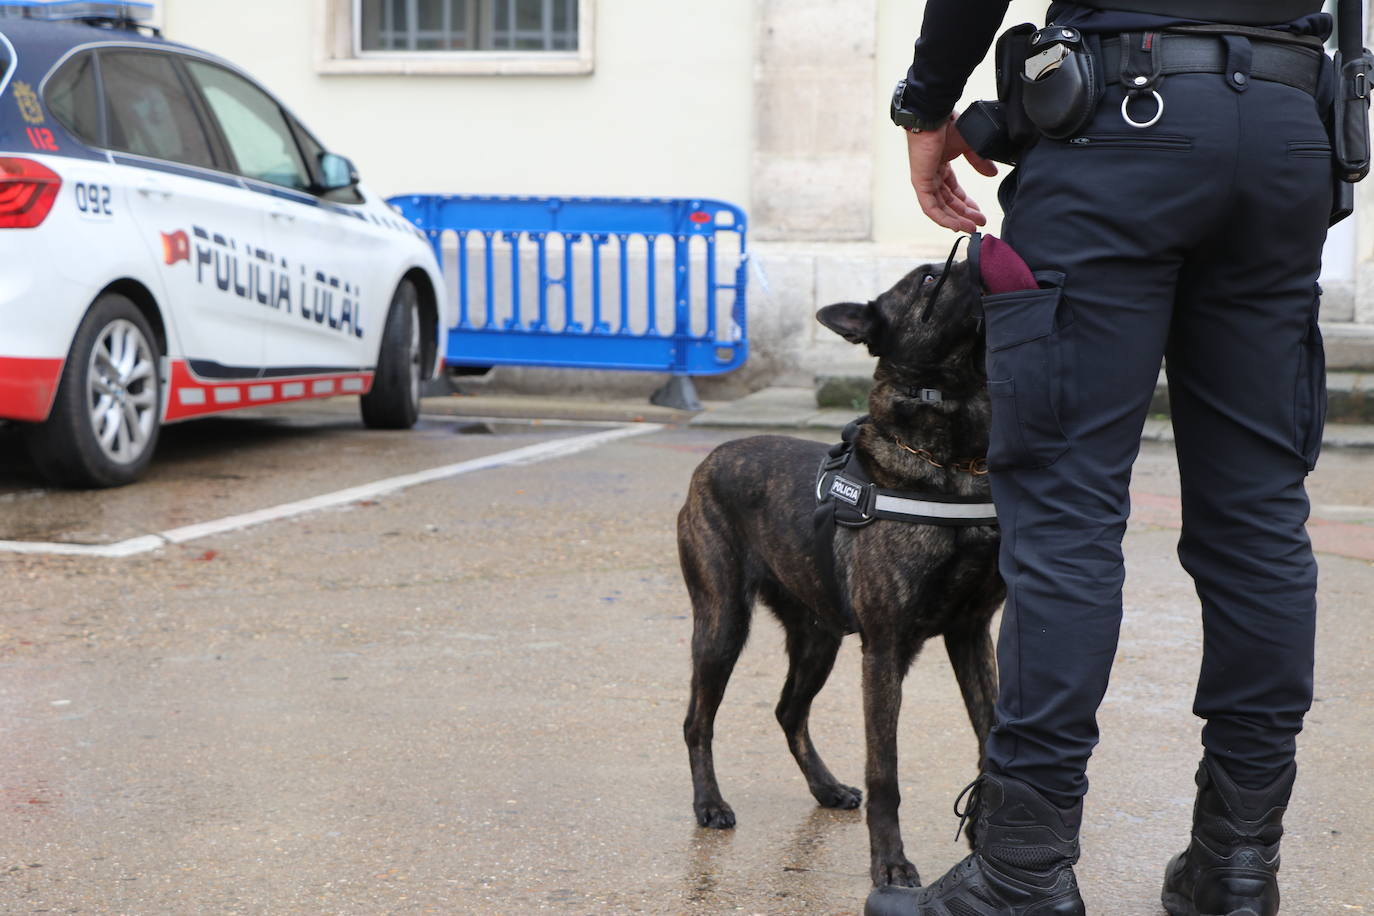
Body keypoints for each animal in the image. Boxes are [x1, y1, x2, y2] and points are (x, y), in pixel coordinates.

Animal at [681, 258, 1005, 889]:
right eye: (928, 281)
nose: (977, 249)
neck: (949, 466)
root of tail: (709, 460)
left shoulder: (971, 633)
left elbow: (989, 739)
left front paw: (988, 841)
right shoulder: (883, 650)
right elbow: (886, 772)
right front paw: (891, 864)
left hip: (817, 639)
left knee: (788, 711)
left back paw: (825, 788)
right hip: (722, 626)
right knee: (697, 720)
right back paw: (709, 803)